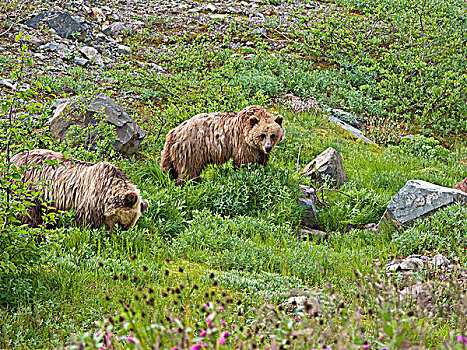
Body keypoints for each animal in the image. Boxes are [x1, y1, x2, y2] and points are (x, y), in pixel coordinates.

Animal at [10, 149, 149, 231]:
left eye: (126, 226)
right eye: (120, 222)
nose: (113, 233)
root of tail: (13, 159)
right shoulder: (94, 193)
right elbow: (86, 218)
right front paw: (83, 230)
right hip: (30, 185)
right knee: (30, 209)